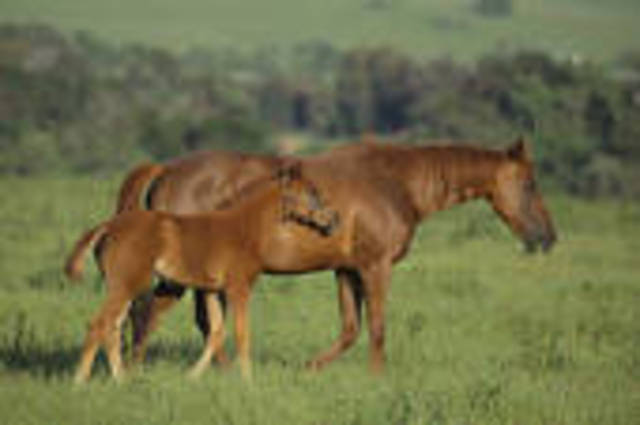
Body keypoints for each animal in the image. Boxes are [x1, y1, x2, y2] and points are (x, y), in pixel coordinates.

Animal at [64, 162, 340, 382]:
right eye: (311, 193)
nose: (332, 220)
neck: (244, 228)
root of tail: (108, 226)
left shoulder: (210, 290)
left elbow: (216, 332)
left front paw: (192, 376)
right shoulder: (238, 287)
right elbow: (241, 333)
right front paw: (248, 381)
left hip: (123, 286)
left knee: (113, 326)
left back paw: (120, 379)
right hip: (128, 283)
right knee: (100, 324)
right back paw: (80, 381)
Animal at [118, 137, 557, 374]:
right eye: (530, 184)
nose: (548, 237)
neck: (394, 180)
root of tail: (166, 170)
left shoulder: (347, 270)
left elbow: (350, 329)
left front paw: (311, 369)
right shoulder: (375, 268)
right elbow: (377, 327)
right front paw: (378, 379)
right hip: (179, 277)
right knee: (149, 314)